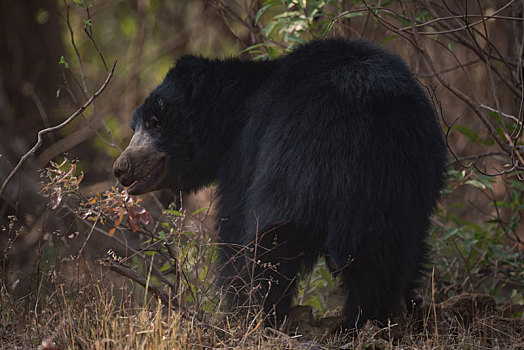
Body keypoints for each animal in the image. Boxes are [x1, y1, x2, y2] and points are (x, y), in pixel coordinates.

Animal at [113, 39, 446, 330]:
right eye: (135, 126)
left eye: (155, 122)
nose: (121, 168)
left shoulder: (247, 150)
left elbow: (234, 227)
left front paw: (234, 311)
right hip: (402, 176)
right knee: (387, 251)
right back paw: (368, 319)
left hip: (297, 166)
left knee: (270, 247)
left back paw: (263, 316)